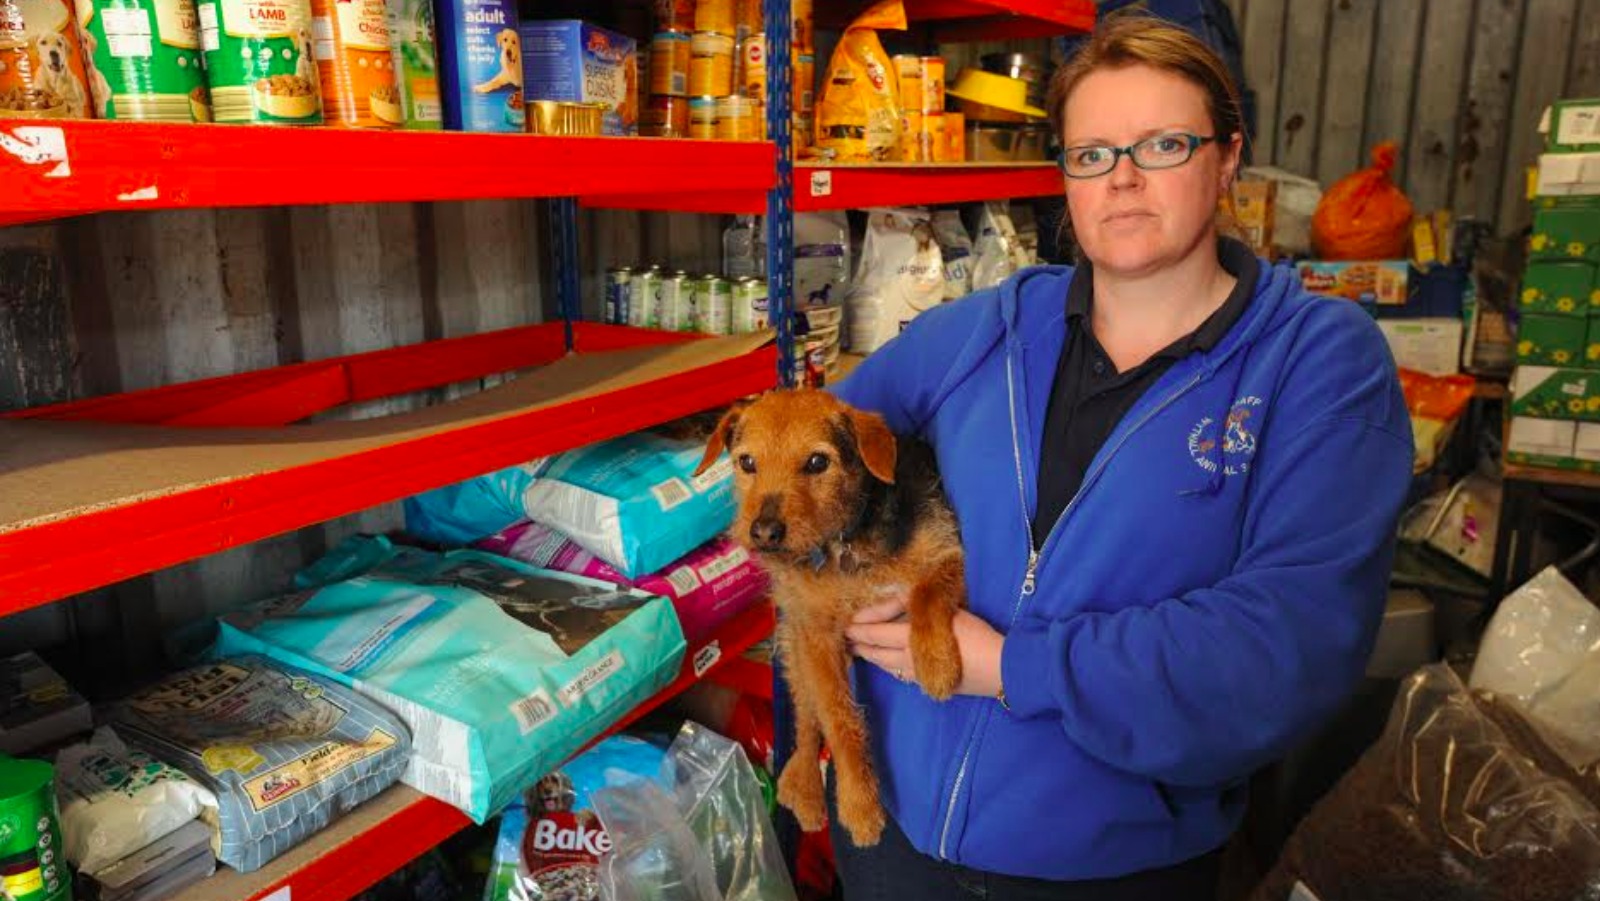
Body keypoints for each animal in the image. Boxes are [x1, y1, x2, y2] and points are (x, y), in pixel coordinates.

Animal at [695, 389, 966, 847]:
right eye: (747, 462)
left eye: (818, 462)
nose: (764, 532)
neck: (846, 540)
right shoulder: (819, 636)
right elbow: (838, 722)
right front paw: (859, 804)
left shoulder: (946, 554)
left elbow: (928, 595)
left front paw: (936, 665)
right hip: (795, 646)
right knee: (806, 723)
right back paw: (803, 787)